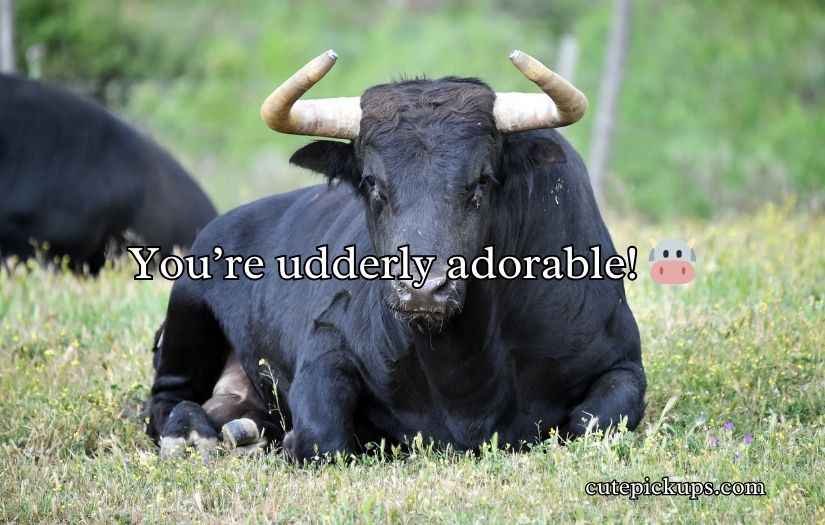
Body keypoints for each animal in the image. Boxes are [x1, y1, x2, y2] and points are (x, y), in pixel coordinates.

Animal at [147, 50, 645, 461]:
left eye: (482, 181)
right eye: (372, 182)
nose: (423, 289)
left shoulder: (624, 365)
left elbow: (590, 423)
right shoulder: (326, 344)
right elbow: (321, 439)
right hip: (187, 309)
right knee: (165, 399)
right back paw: (192, 434)